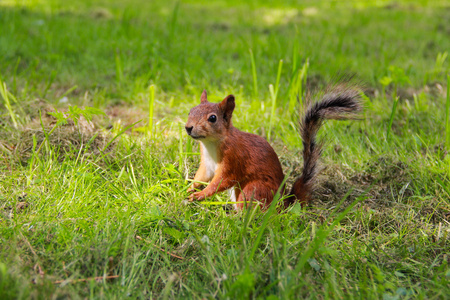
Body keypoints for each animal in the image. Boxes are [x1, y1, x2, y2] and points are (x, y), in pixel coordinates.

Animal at [184, 86, 362, 209]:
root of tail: (282, 205)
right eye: (190, 111)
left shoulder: (235, 159)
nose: (188, 127)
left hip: (254, 189)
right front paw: (190, 187)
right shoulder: (207, 162)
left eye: (213, 118)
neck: (212, 144)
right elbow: (202, 176)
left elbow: (222, 181)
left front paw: (200, 195)